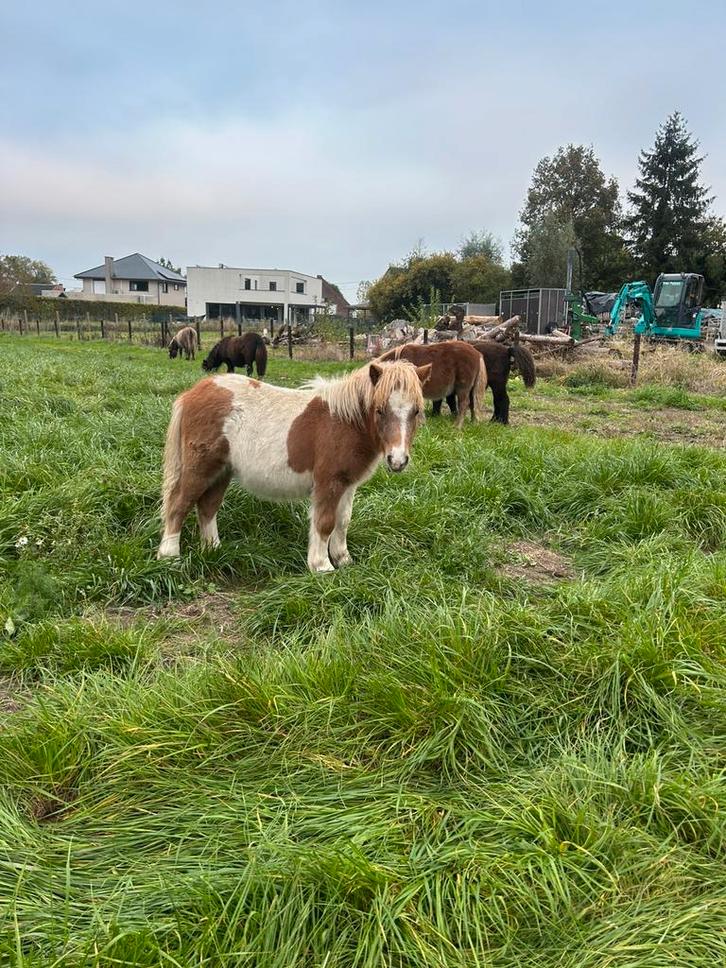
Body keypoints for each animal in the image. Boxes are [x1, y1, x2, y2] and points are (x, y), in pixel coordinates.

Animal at [157, 359, 432, 572]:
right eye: (379, 410)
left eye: (416, 411)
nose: (397, 460)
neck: (345, 423)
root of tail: (192, 393)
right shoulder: (328, 483)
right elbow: (325, 523)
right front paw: (322, 566)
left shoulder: (348, 485)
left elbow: (343, 521)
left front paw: (343, 560)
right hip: (200, 470)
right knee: (179, 504)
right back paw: (169, 557)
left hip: (221, 472)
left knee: (207, 507)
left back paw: (213, 549)